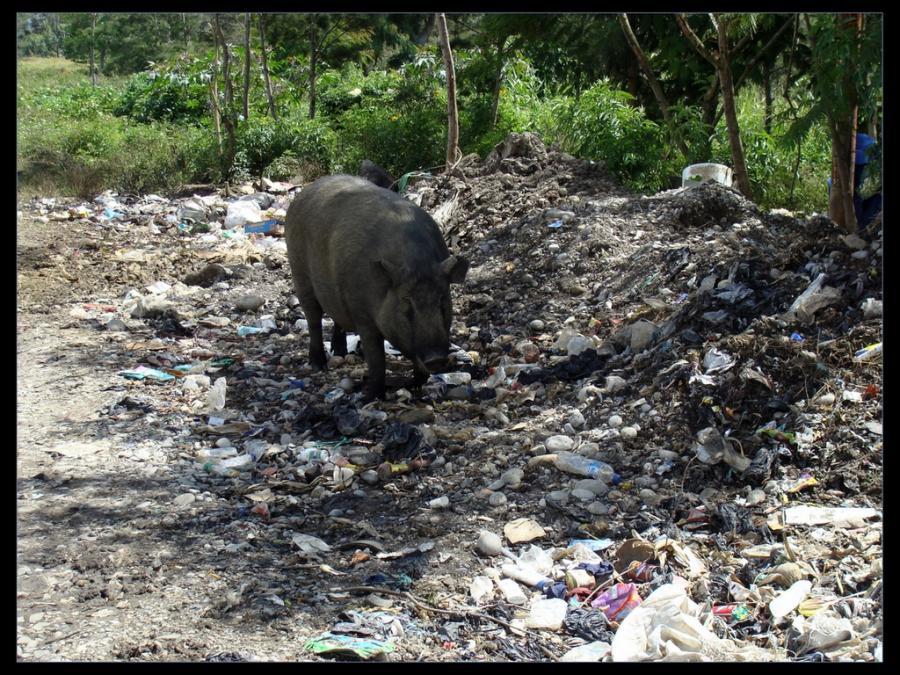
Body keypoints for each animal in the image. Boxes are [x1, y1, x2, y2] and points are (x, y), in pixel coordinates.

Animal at [286, 176, 472, 402]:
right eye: (406, 302)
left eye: (442, 300)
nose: (436, 358)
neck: (417, 262)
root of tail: (305, 192)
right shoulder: (362, 314)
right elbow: (376, 358)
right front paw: (371, 397)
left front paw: (416, 386)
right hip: (299, 272)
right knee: (313, 319)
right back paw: (318, 365)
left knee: (337, 319)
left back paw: (340, 353)